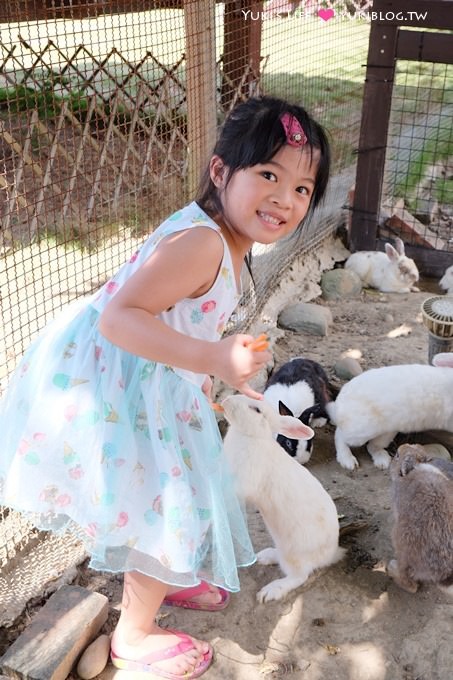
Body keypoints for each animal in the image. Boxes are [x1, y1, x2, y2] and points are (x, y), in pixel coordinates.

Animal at [222, 396, 342, 604]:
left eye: (256, 410)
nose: (226, 400)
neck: (253, 436)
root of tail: (331, 553)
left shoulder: (244, 481)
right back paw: (265, 556)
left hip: (294, 554)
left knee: (298, 576)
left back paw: (270, 591)